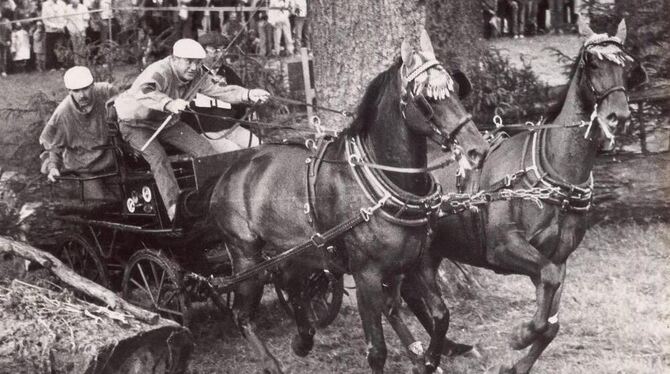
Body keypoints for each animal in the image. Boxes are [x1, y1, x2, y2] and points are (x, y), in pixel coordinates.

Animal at [209, 30, 488, 372]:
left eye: (455, 89)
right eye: (426, 98)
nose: (477, 149)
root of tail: (229, 171)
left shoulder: (417, 262)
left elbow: (440, 316)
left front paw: (429, 359)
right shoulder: (366, 275)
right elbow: (377, 350)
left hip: (295, 252)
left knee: (294, 288)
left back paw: (304, 339)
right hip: (246, 256)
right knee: (243, 315)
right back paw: (271, 361)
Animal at [400, 19, 652, 372]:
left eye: (628, 67)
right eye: (592, 63)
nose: (618, 116)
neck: (553, 172)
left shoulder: (558, 258)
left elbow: (552, 318)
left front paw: (518, 362)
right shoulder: (504, 249)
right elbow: (546, 289)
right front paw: (521, 335)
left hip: (430, 251)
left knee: (407, 294)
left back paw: (443, 348)